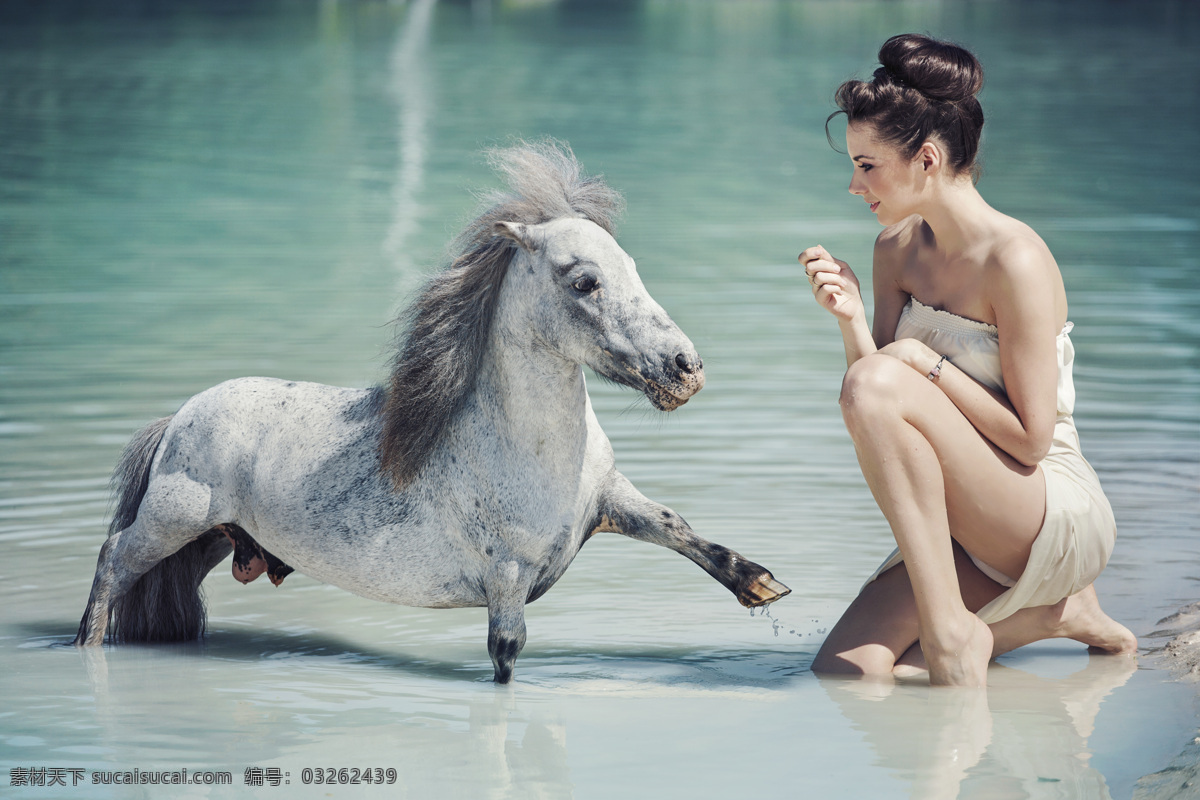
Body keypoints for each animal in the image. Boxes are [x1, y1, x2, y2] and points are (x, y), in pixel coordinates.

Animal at [72, 142, 787, 681]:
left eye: (633, 267)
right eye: (584, 281)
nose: (685, 368)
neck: (528, 450)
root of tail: (178, 419)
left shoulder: (609, 501)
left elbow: (677, 527)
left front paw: (762, 586)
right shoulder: (507, 586)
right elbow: (505, 662)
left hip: (210, 540)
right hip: (170, 522)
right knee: (111, 560)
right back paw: (85, 643)